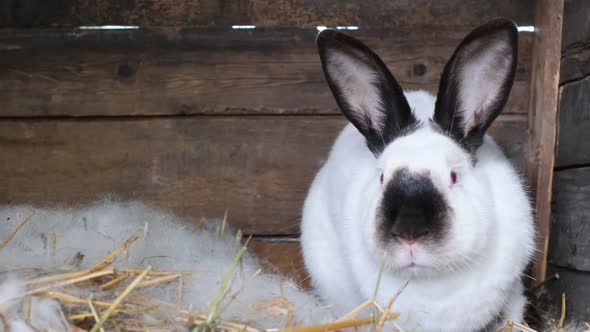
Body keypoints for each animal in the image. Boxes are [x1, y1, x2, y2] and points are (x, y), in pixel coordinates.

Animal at [302, 18, 540, 332]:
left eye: (454, 176)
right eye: (381, 178)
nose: (409, 232)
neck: (434, 287)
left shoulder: (513, 288)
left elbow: (513, 314)